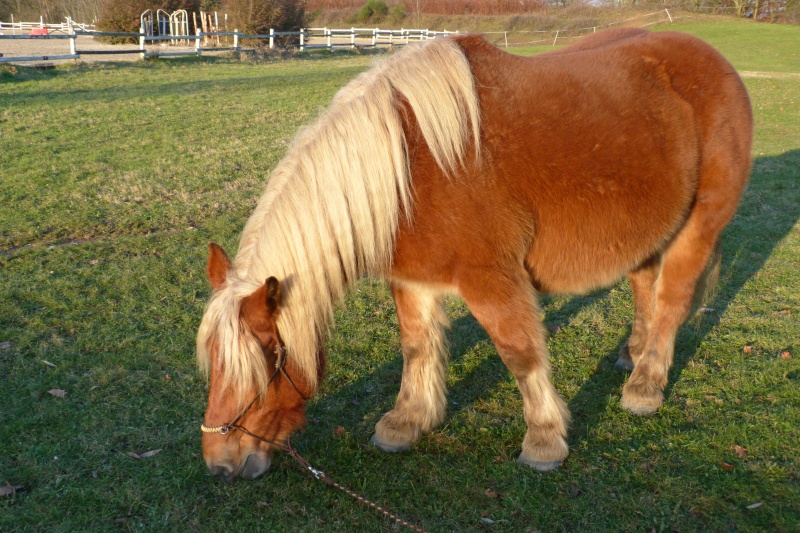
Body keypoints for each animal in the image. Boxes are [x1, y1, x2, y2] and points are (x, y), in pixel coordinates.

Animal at [197, 27, 752, 480]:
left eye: (261, 369)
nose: (220, 464)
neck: (408, 170)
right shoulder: (413, 279)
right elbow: (416, 346)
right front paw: (406, 422)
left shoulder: (491, 279)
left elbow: (520, 353)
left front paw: (544, 441)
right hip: (646, 230)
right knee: (643, 285)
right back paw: (631, 356)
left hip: (699, 227)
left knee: (673, 299)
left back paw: (645, 386)